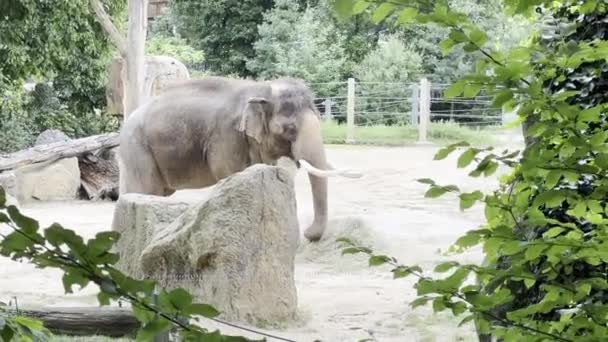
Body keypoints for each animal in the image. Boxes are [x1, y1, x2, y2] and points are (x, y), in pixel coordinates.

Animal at [119, 76, 358, 242]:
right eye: (289, 129)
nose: (308, 234)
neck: (261, 88)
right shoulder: (226, 136)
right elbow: (229, 174)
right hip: (137, 148)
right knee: (146, 190)